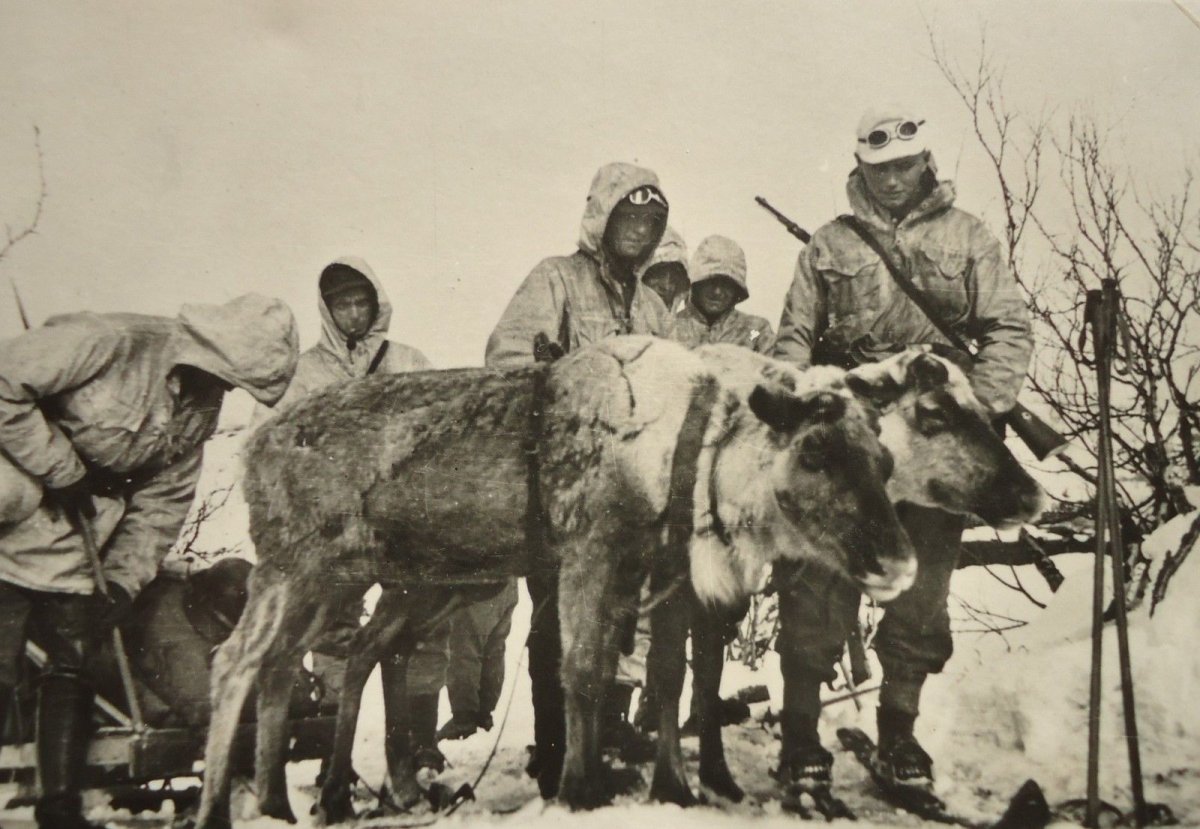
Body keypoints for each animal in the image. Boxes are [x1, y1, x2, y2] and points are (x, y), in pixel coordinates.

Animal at [190, 335, 918, 828]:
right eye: (815, 451)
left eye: (884, 459)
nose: (900, 564)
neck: (689, 451)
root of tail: (251, 447)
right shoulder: (587, 552)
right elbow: (584, 671)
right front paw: (578, 788)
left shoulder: (661, 575)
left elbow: (666, 679)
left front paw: (674, 788)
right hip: (295, 563)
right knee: (235, 661)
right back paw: (226, 807)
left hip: (379, 577)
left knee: (312, 659)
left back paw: (306, 797)